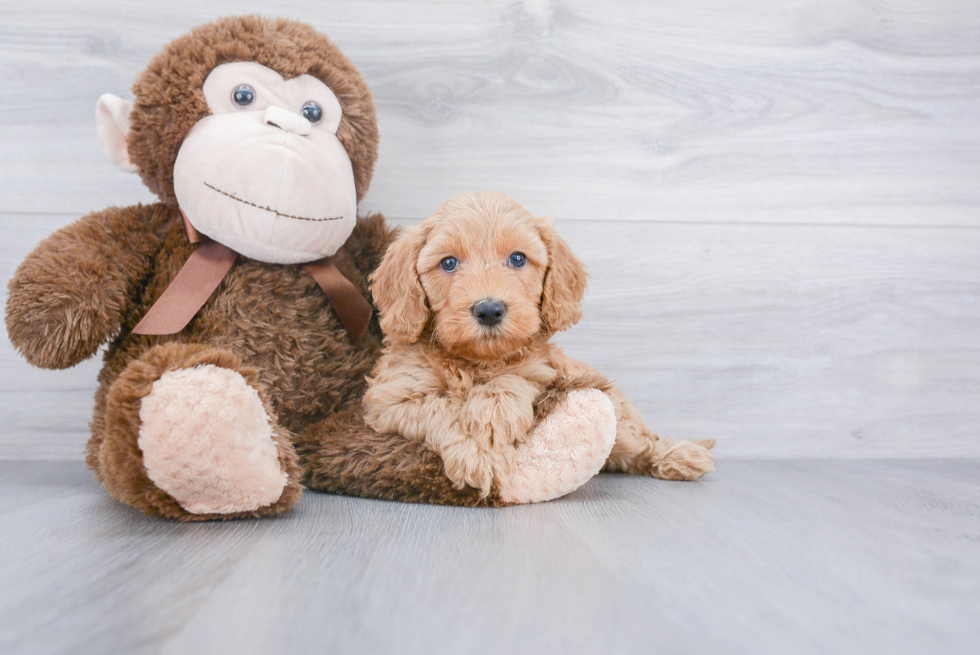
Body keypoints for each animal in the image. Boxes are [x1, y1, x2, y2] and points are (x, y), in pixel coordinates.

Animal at [362, 191, 712, 498]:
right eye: (448, 263)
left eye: (518, 259)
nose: (489, 310)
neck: (478, 360)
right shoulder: (391, 398)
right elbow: (442, 407)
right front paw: (479, 448)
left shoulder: (544, 371)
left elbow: (513, 378)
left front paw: (492, 413)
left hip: (620, 418)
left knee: (640, 443)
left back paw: (679, 455)